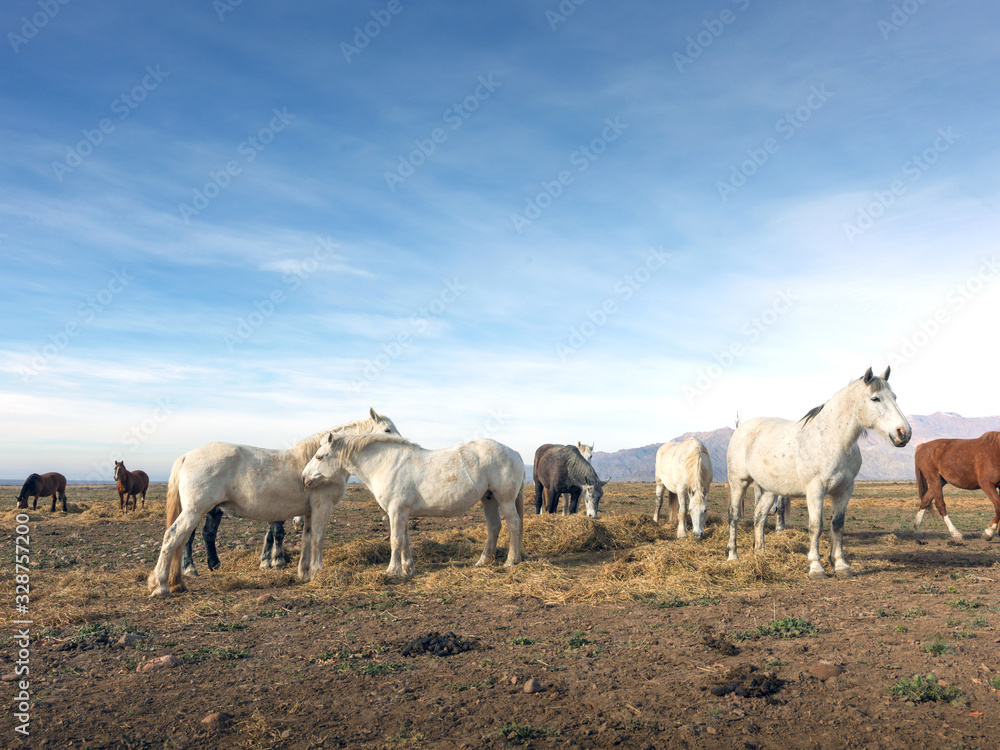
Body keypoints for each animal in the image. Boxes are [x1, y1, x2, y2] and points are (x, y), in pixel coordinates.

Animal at [148, 409, 398, 597]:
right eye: (387, 430)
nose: (401, 445)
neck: (322, 463)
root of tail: (187, 455)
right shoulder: (322, 507)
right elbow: (318, 538)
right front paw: (318, 572)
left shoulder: (308, 513)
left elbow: (307, 539)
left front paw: (304, 574)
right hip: (195, 511)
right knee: (173, 538)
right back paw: (161, 586)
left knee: (181, 542)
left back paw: (178, 583)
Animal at [302, 433, 525, 579]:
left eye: (319, 457)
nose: (304, 478)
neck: (384, 464)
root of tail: (514, 451)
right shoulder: (402, 512)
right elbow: (405, 541)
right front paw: (408, 569)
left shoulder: (396, 511)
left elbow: (395, 541)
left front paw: (392, 571)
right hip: (489, 499)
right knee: (494, 527)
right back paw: (483, 561)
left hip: (504, 499)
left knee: (513, 525)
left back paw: (510, 561)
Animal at [726, 367, 911, 579]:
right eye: (875, 399)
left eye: (894, 397)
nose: (904, 433)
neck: (833, 440)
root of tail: (741, 429)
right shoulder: (816, 489)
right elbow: (816, 526)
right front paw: (816, 567)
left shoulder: (845, 490)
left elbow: (838, 525)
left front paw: (840, 566)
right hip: (738, 482)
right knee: (734, 516)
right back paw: (732, 556)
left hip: (769, 489)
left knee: (759, 516)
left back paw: (760, 554)